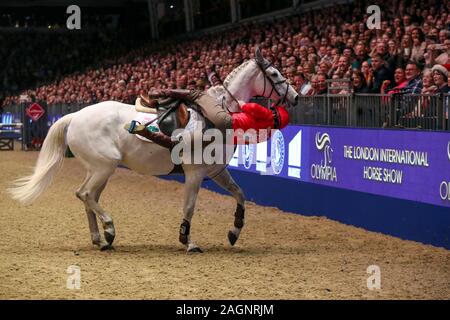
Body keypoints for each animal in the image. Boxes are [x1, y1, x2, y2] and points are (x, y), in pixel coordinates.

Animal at [7, 47, 298, 252]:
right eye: (274, 74)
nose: (296, 96)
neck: (217, 112)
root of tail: (75, 115)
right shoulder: (195, 173)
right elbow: (189, 207)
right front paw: (187, 241)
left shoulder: (216, 171)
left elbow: (240, 195)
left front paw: (234, 232)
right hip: (104, 166)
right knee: (85, 194)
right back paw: (109, 229)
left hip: (99, 169)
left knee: (87, 197)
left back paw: (100, 239)